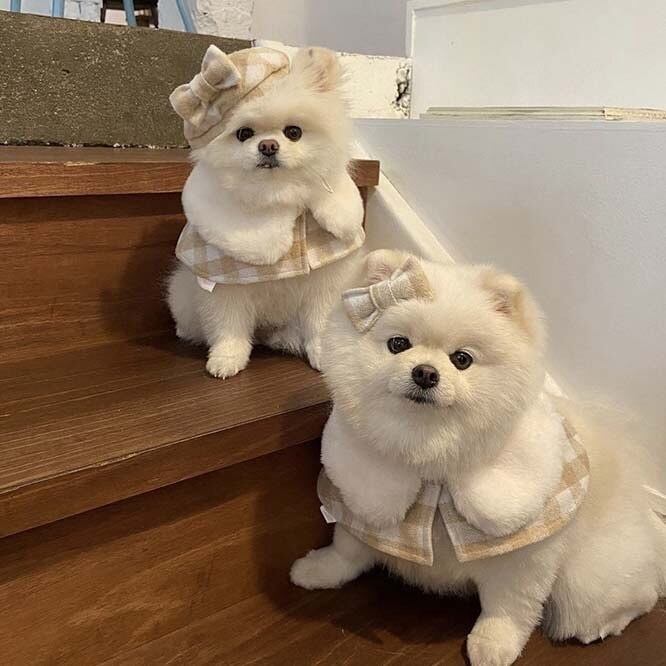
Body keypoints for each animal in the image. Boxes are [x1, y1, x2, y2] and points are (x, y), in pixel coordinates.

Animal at [167, 45, 364, 378]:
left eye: (294, 132)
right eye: (243, 133)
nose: (268, 145)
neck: (277, 196)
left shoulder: (324, 282)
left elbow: (319, 322)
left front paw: (322, 354)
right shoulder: (224, 285)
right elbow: (228, 327)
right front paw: (227, 358)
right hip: (182, 294)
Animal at [291, 249, 666, 665]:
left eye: (462, 359)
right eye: (398, 344)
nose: (425, 373)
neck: (431, 458)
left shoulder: (523, 558)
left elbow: (510, 608)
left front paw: (493, 644)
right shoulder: (362, 499)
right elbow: (347, 547)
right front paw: (318, 570)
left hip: (585, 582)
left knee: (634, 597)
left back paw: (601, 627)